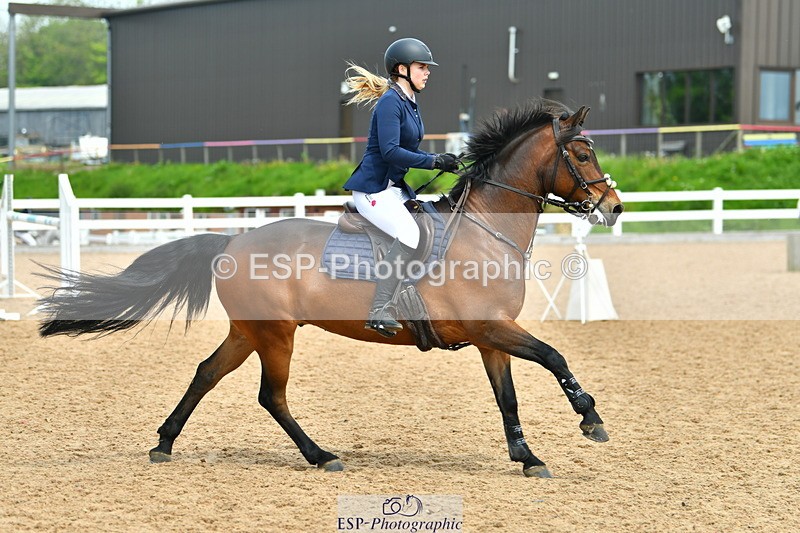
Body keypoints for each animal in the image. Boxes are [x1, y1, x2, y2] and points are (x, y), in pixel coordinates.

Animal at [38, 99, 624, 478]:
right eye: (583, 155)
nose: (614, 208)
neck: (484, 230)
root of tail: (233, 239)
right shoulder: (492, 327)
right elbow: (553, 356)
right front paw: (590, 418)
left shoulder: (490, 336)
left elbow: (508, 397)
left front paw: (527, 457)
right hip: (276, 335)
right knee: (271, 395)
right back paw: (321, 456)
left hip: (250, 331)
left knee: (207, 373)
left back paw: (164, 443)